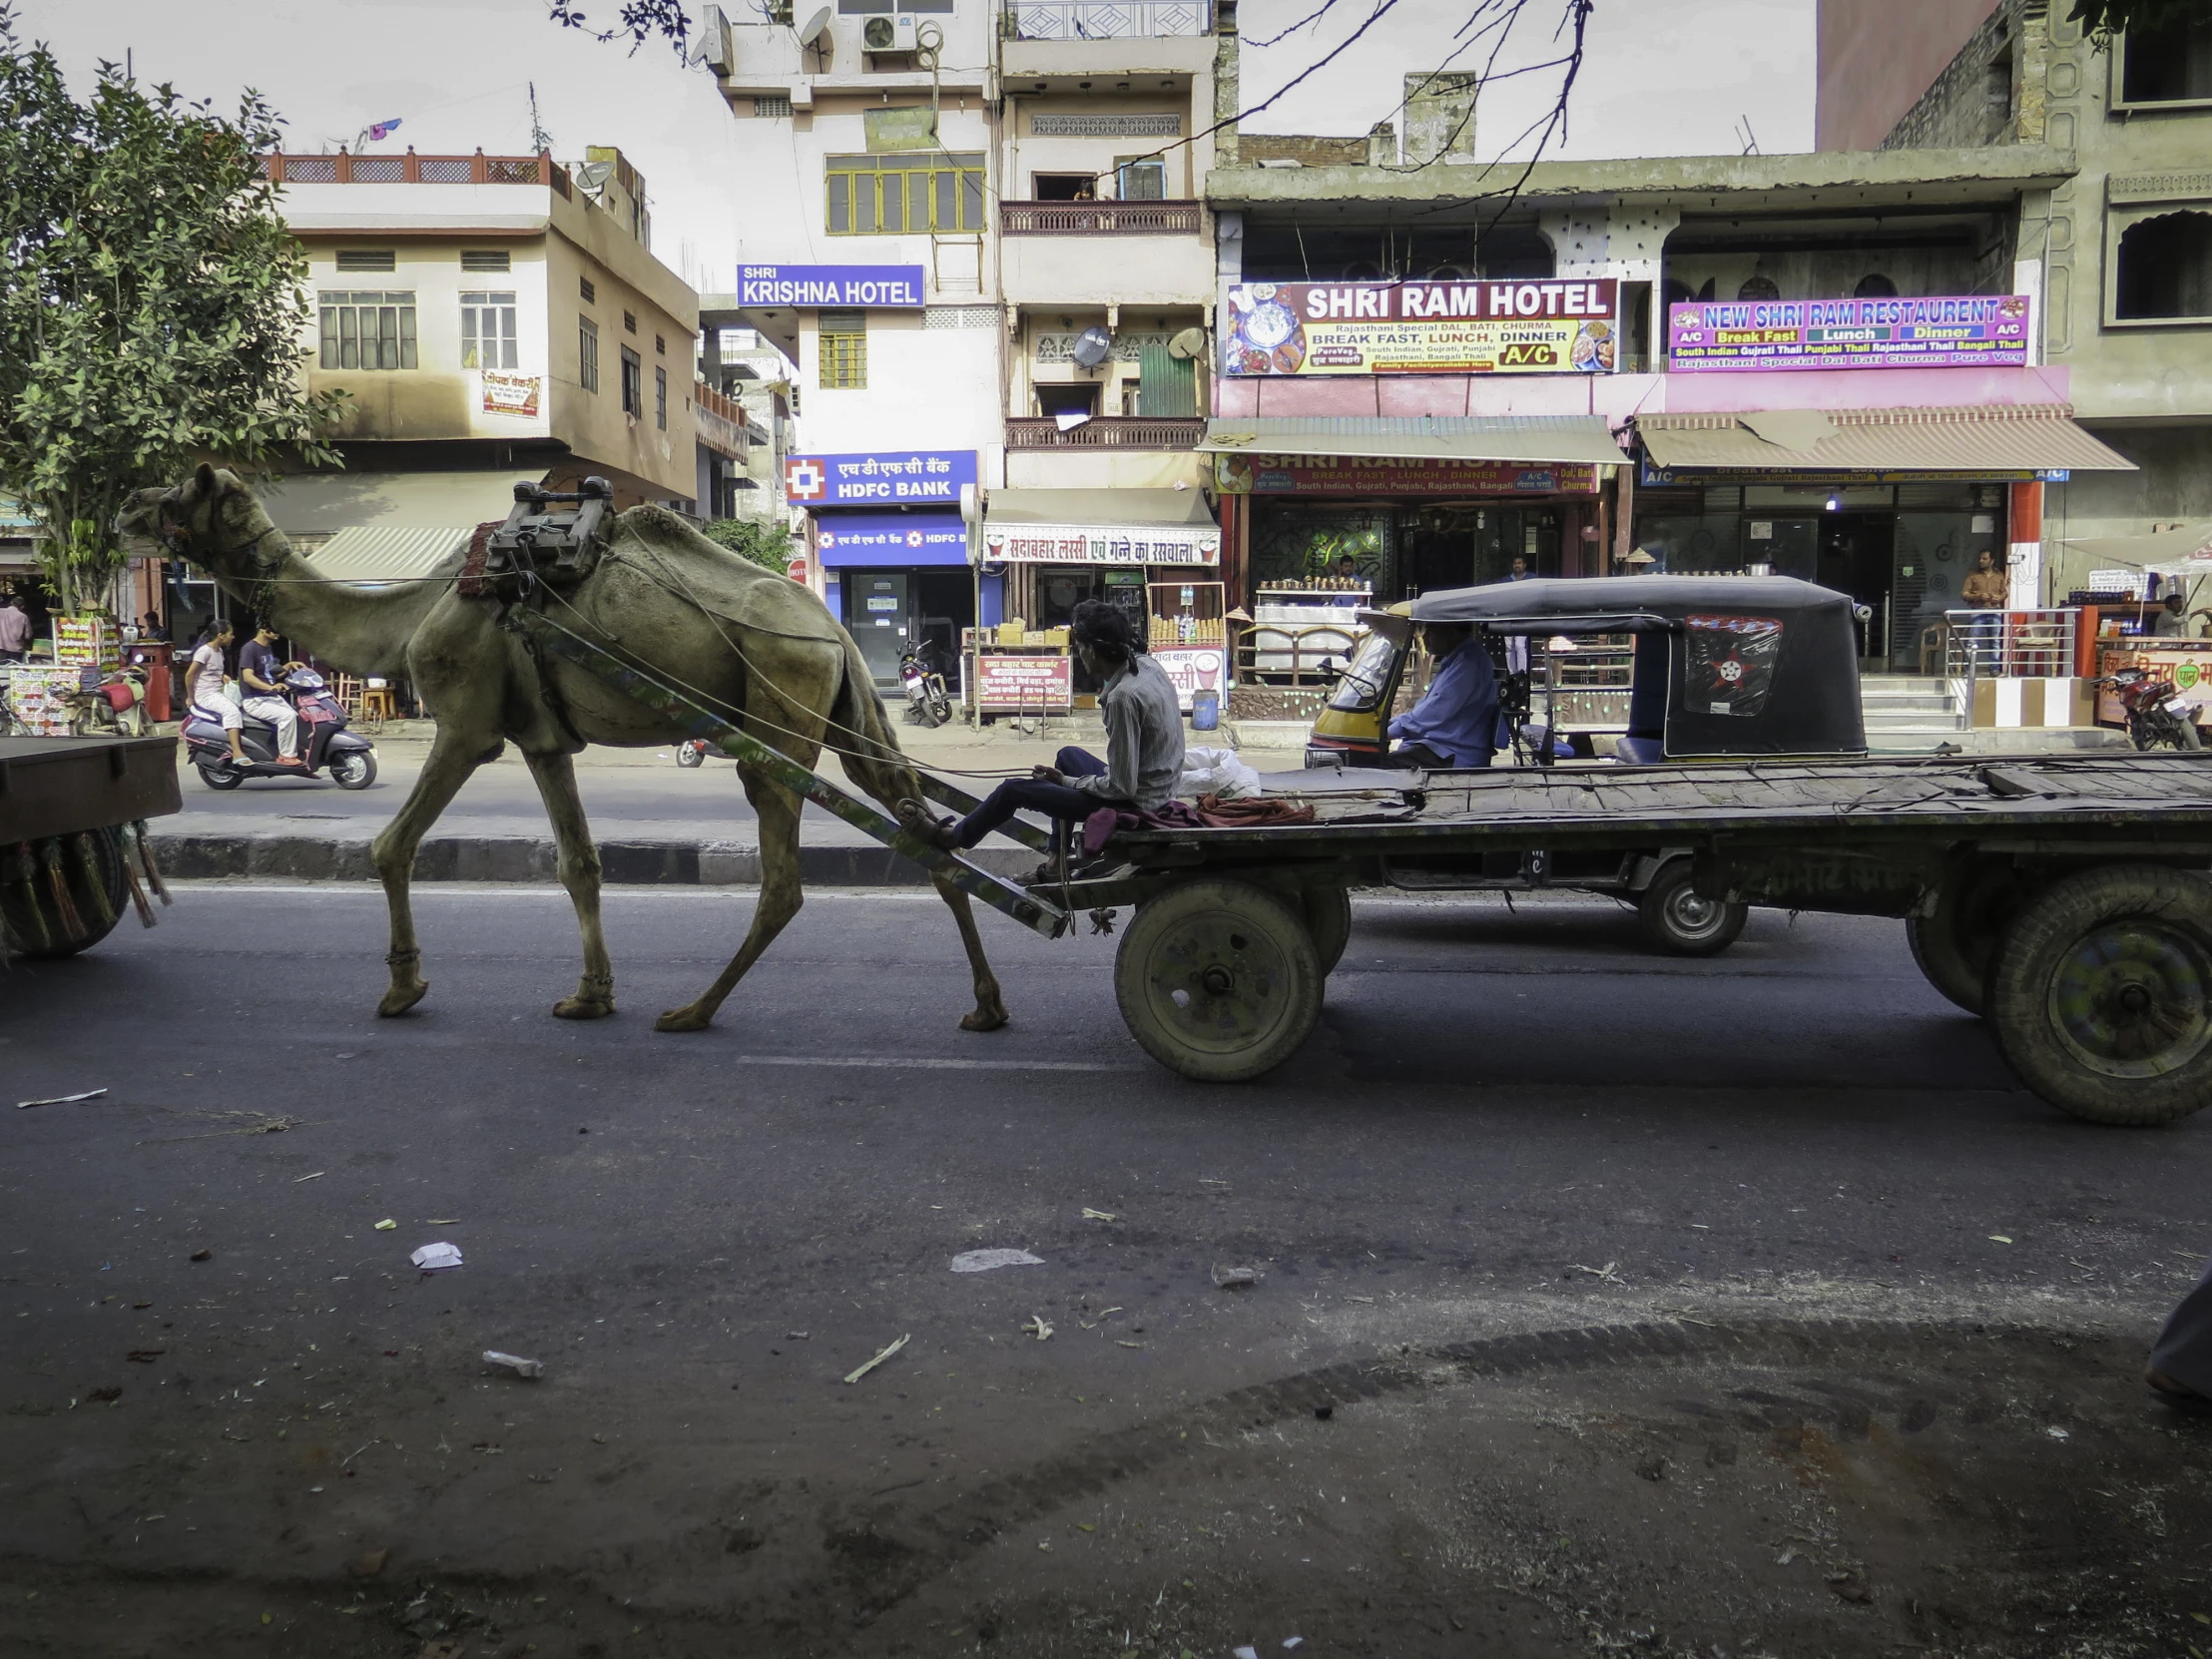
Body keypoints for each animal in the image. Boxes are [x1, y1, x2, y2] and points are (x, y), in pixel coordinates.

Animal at [121, 468, 1012, 1035]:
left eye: (179, 491)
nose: (127, 504)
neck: (411, 614)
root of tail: (830, 629)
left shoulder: (468, 726)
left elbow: (390, 845)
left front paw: (403, 988)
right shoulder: (544, 739)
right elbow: (578, 863)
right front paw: (589, 996)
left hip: (777, 716)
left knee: (788, 876)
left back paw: (694, 1010)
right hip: (843, 712)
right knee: (923, 831)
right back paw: (986, 1005)